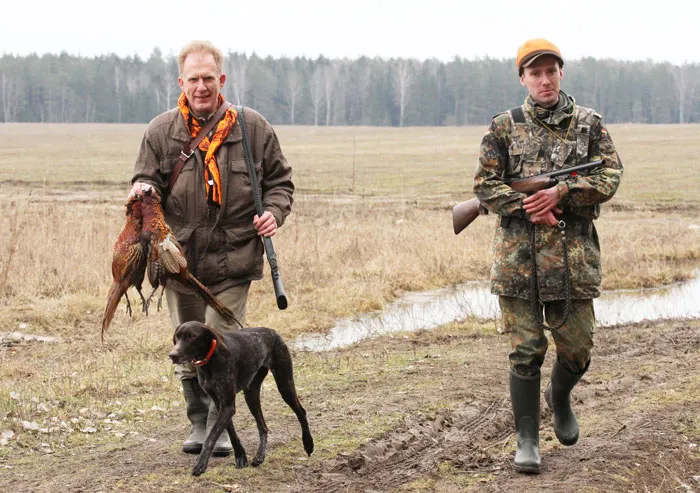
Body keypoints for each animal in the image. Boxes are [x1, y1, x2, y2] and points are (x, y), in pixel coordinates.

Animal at [168, 320, 314, 474]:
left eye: (192, 337)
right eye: (177, 337)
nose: (172, 355)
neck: (210, 361)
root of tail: (272, 331)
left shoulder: (227, 406)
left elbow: (211, 437)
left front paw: (200, 464)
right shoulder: (221, 404)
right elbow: (231, 433)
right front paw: (241, 456)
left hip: (285, 384)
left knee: (301, 412)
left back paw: (308, 444)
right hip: (251, 394)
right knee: (263, 427)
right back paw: (259, 457)